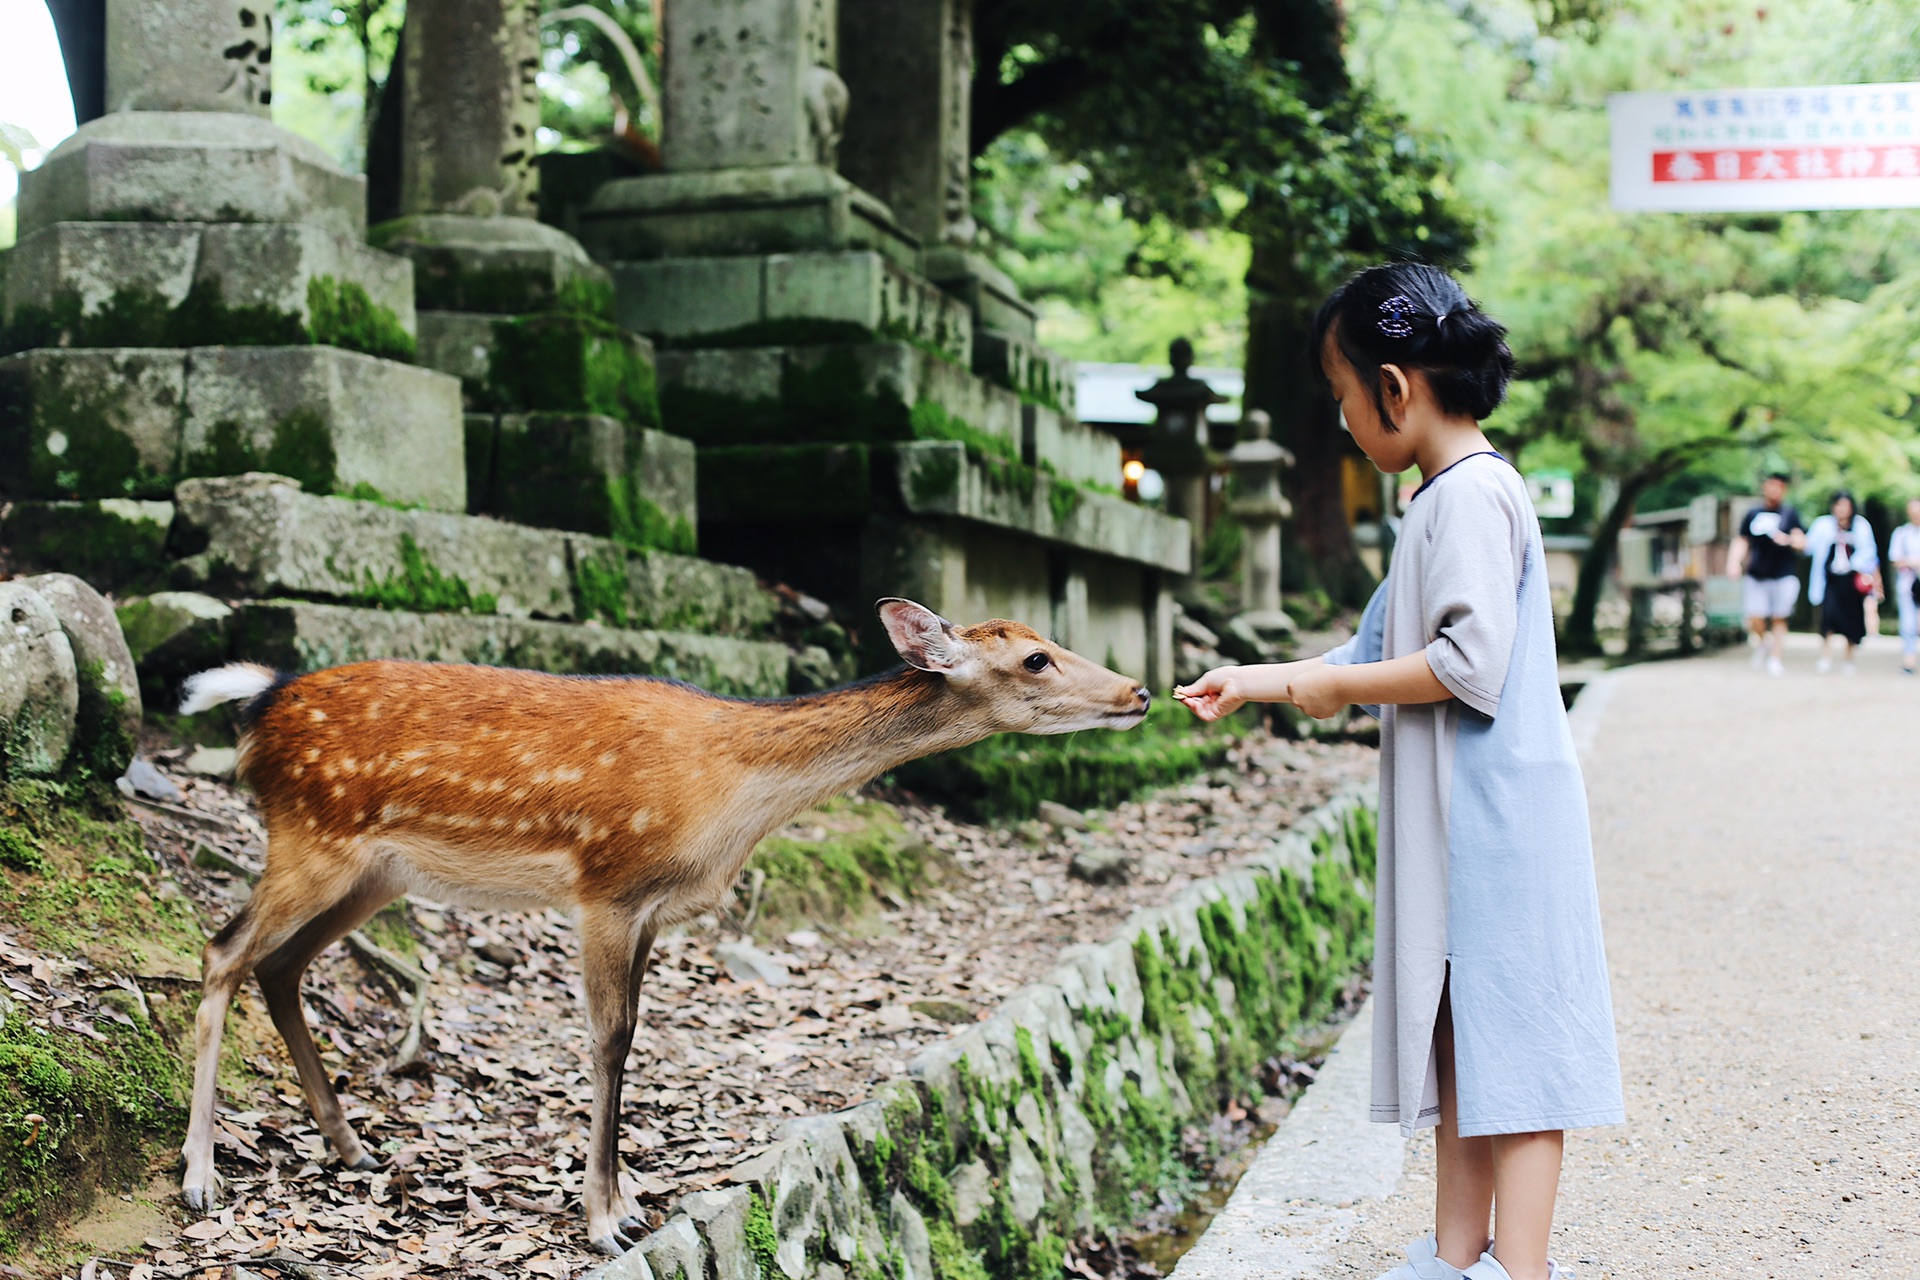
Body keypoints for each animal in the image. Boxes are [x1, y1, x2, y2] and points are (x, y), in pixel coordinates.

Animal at [172, 602, 1144, 1258]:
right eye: (1036, 658)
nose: (1137, 691)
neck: (732, 794)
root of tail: (260, 704)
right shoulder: (607, 887)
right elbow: (609, 1039)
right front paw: (605, 1220)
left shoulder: (652, 910)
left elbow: (633, 1036)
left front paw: (630, 1196)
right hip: (311, 838)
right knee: (222, 951)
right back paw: (198, 1175)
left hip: (373, 871)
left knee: (280, 967)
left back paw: (351, 1144)